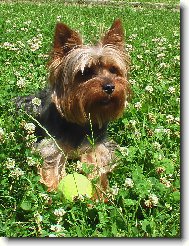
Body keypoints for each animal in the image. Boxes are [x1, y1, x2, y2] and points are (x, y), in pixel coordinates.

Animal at [17, 18, 130, 200]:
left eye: (113, 69)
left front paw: (98, 193)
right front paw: (53, 193)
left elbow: (96, 164)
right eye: (85, 72)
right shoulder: (53, 144)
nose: (110, 86)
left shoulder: (97, 146)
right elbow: (52, 163)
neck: (80, 122)